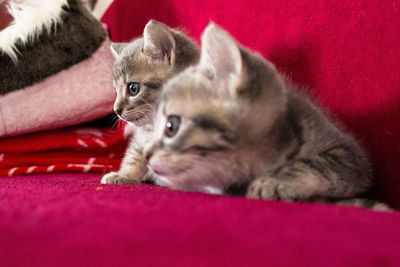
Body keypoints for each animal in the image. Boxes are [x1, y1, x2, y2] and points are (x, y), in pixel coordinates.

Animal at [101, 19, 199, 185]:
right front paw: (125, 175)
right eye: (115, 91)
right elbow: (134, 156)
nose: (116, 110)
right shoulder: (140, 141)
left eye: (133, 88)